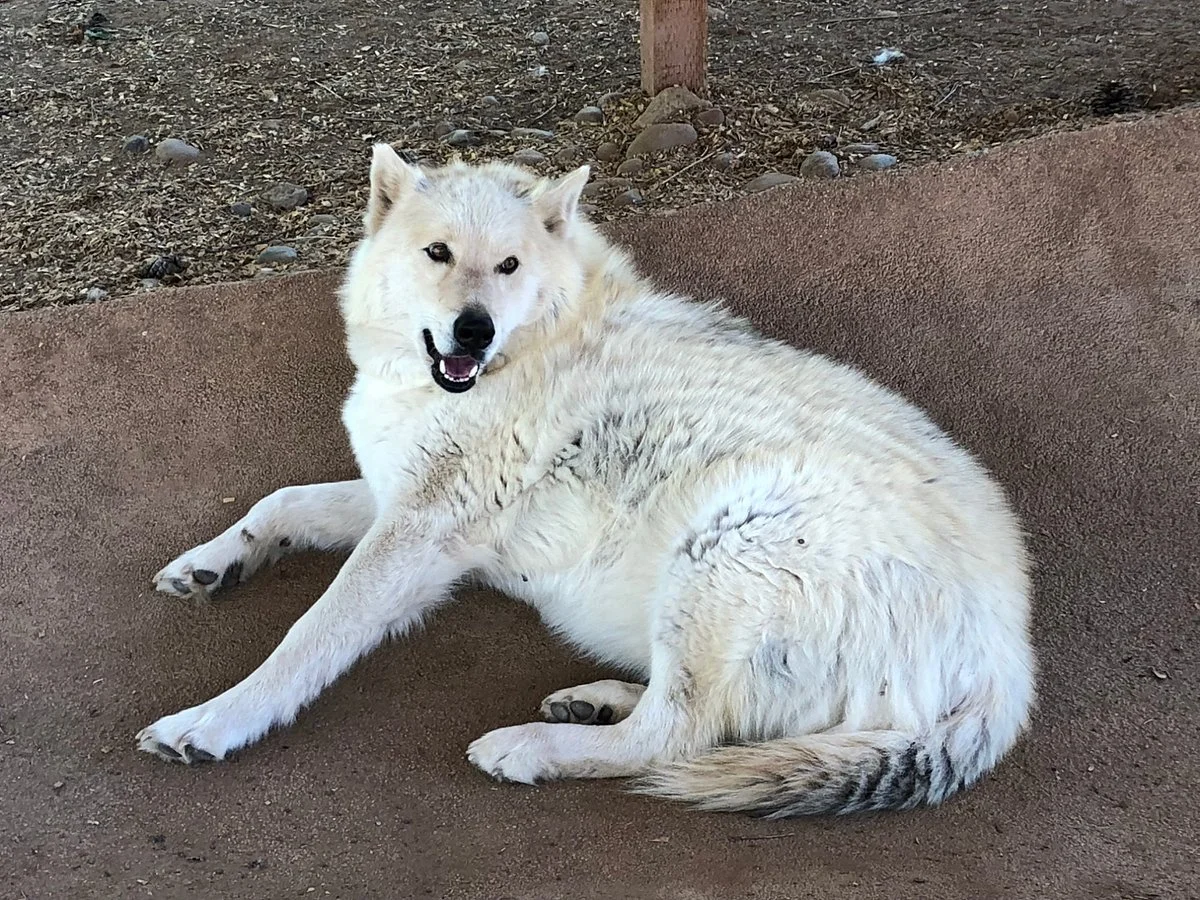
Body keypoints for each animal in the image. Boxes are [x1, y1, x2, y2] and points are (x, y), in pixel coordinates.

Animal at [136, 145, 1036, 817]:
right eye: (438, 253)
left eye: (508, 264)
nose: (473, 328)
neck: (530, 345)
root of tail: (1007, 672)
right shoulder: (402, 504)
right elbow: (281, 501)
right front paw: (211, 564)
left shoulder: (416, 533)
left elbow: (307, 638)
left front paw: (214, 720)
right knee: (697, 716)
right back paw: (595, 699)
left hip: (724, 542)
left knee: (677, 735)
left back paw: (533, 747)